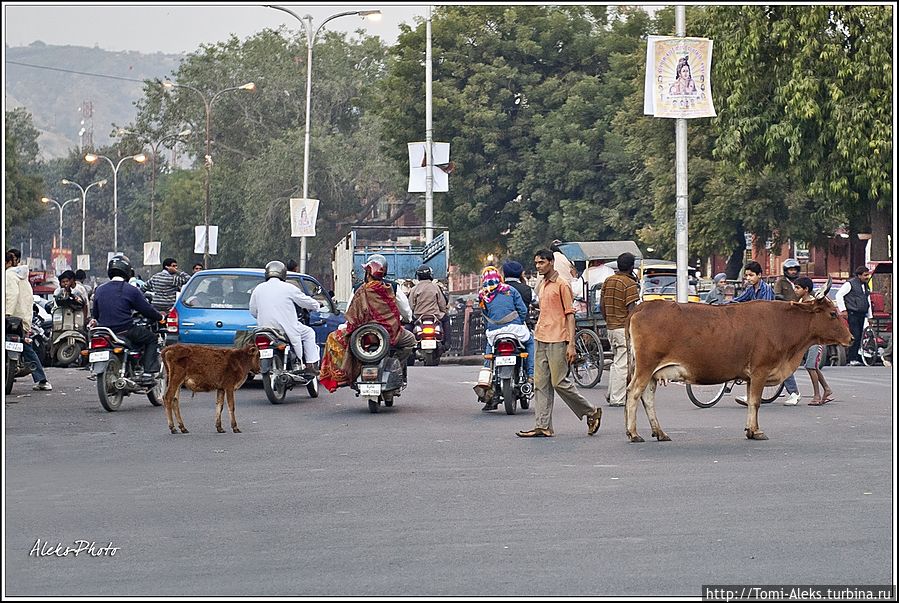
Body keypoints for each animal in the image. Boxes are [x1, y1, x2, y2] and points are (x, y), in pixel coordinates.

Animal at [624, 284, 852, 444]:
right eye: (832, 314)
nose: (850, 338)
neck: (783, 324)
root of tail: (645, 305)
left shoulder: (751, 376)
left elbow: (751, 402)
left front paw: (750, 429)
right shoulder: (760, 370)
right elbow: (756, 402)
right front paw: (757, 431)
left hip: (652, 373)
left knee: (648, 398)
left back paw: (659, 432)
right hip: (646, 367)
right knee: (633, 392)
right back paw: (633, 433)